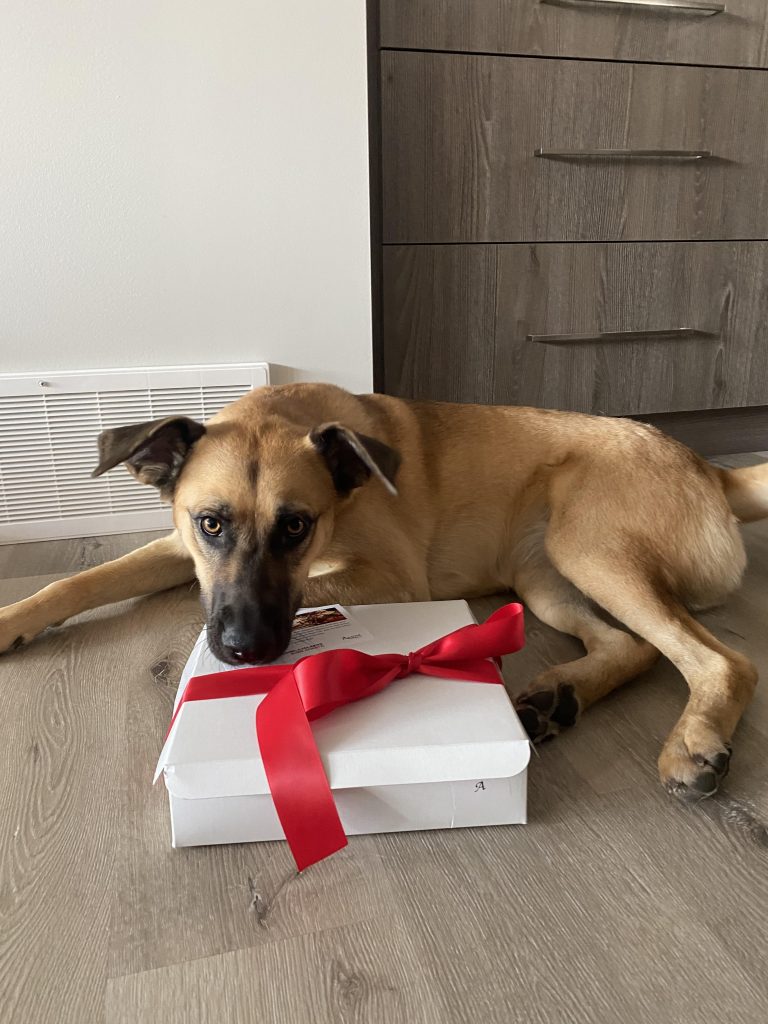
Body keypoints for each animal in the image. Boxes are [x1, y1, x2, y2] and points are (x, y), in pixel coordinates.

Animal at [1, 385, 768, 798]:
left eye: (297, 526)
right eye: (210, 523)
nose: (246, 651)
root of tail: (706, 464)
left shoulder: (390, 578)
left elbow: (306, 592)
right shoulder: (177, 545)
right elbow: (78, 580)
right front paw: (14, 617)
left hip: (589, 547)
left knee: (721, 660)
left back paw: (693, 740)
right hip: (545, 576)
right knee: (631, 646)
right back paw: (561, 694)